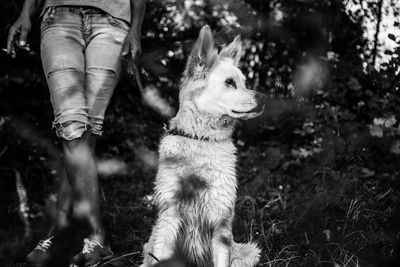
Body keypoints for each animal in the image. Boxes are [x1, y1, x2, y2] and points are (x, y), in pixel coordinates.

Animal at [141, 25, 266, 267]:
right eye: (229, 82)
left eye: (244, 82)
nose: (264, 99)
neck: (202, 139)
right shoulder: (169, 217)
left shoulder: (221, 221)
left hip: (248, 252)